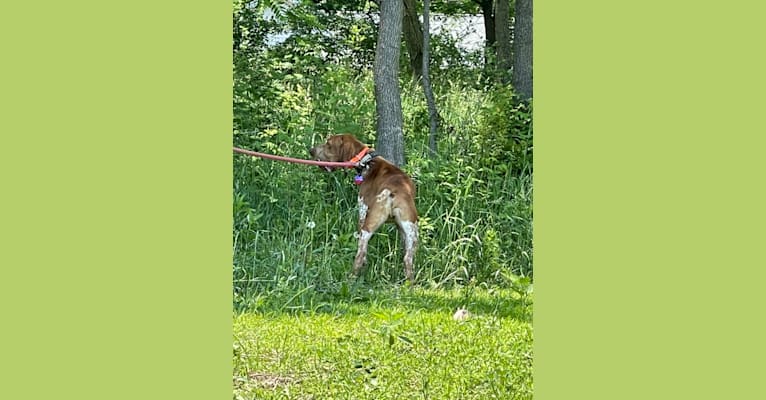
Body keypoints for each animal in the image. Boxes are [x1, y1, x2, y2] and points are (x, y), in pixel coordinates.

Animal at [310, 134, 420, 282]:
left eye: (328, 144)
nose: (311, 150)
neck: (367, 161)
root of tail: (393, 193)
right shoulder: (402, 229)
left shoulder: (362, 212)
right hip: (412, 232)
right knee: (408, 259)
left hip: (367, 228)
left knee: (360, 255)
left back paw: (352, 277)